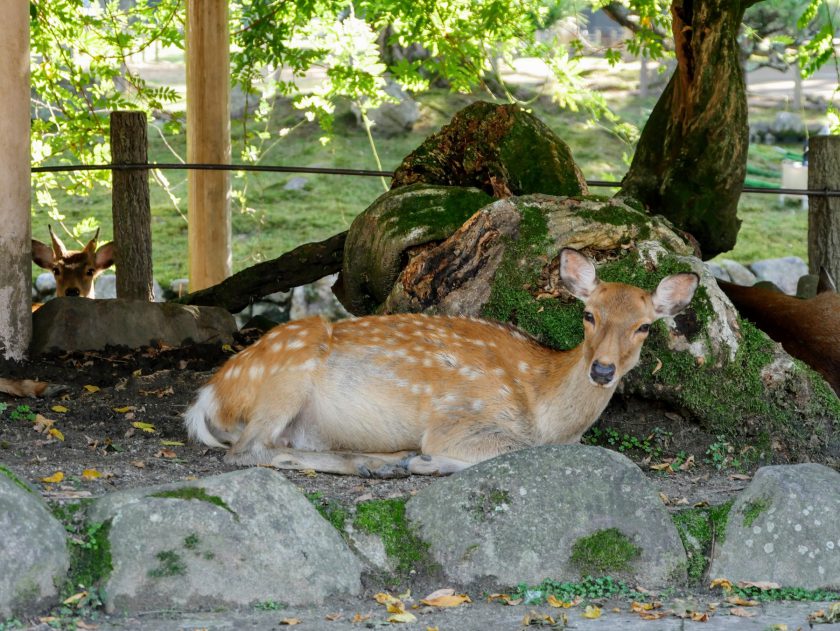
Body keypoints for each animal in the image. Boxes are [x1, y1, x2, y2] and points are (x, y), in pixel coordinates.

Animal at [185, 249, 704, 476]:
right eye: (588, 314)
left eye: (644, 326)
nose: (602, 370)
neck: (542, 406)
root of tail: (209, 396)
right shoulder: (459, 417)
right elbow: (515, 449)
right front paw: (431, 463)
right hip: (283, 376)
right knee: (246, 451)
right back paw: (385, 464)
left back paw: (386, 460)